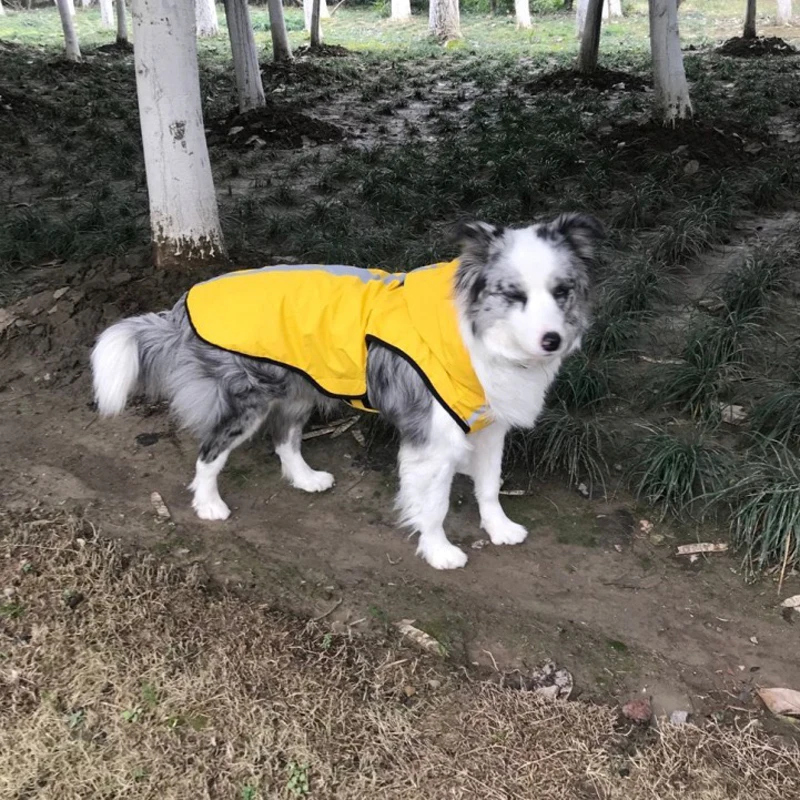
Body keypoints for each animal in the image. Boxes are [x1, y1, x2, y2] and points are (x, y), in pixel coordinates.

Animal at [90, 214, 600, 568]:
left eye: (562, 291)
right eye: (513, 294)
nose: (552, 340)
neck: (472, 333)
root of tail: (183, 301)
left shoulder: (489, 426)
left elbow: (490, 485)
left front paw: (499, 528)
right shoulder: (432, 440)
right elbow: (433, 504)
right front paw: (439, 552)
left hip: (298, 389)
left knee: (284, 439)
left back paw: (305, 478)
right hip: (248, 401)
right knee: (210, 451)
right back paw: (209, 504)